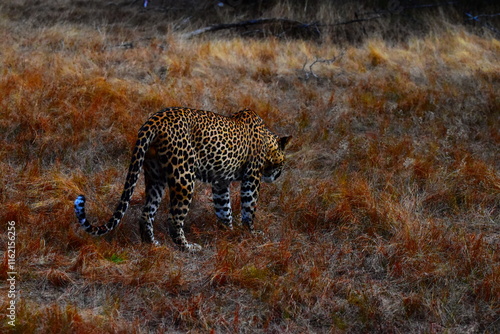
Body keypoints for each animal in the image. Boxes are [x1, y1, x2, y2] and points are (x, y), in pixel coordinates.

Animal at [75, 107, 292, 250]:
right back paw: (187, 247)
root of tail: (154, 120)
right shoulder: (252, 177)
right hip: (184, 176)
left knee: (147, 213)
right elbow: (249, 208)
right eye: (283, 163)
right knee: (174, 218)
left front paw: (228, 232)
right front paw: (251, 233)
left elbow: (224, 208)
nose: (278, 175)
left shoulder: (220, 182)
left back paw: (152, 245)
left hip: (155, 176)